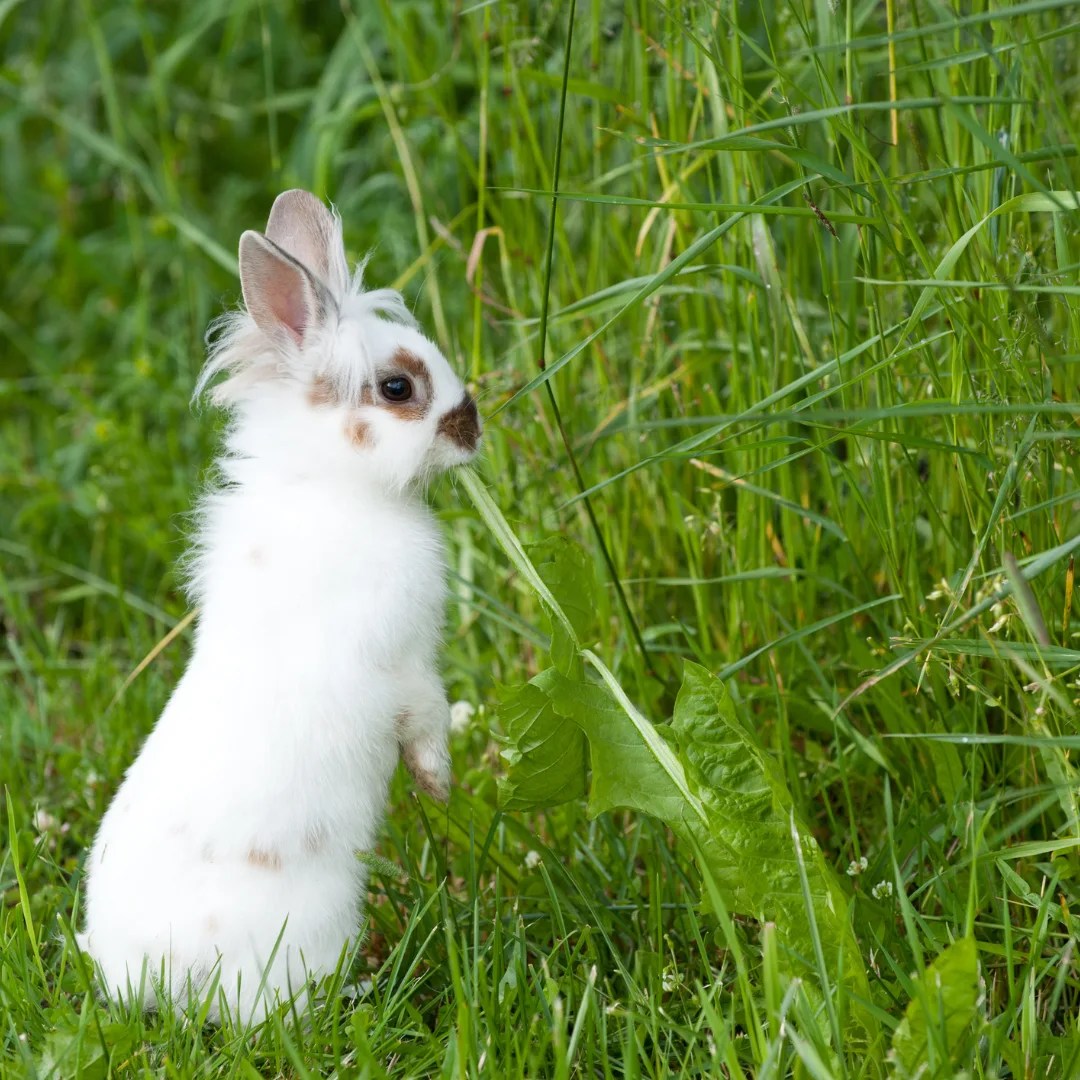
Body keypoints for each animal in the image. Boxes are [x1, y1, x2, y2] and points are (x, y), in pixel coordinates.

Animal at [78, 189, 481, 1024]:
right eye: (398, 389)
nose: (475, 428)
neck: (332, 484)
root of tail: (151, 978)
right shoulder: (407, 665)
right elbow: (427, 721)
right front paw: (441, 787)